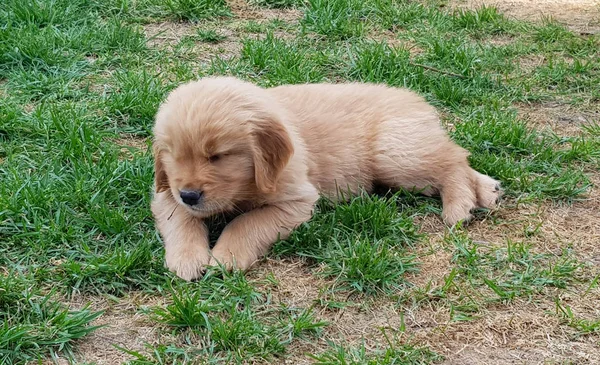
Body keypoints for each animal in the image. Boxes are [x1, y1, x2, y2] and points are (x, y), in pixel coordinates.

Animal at [151, 76, 502, 278]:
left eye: (217, 156)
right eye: (173, 155)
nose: (190, 195)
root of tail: (415, 99)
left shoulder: (296, 200)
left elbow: (245, 222)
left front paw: (226, 256)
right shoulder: (165, 193)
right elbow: (179, 219)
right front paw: (186, 259)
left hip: (394, 154)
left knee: (453, 159)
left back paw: (459, 205)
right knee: (451, 155)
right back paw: (488, 190)